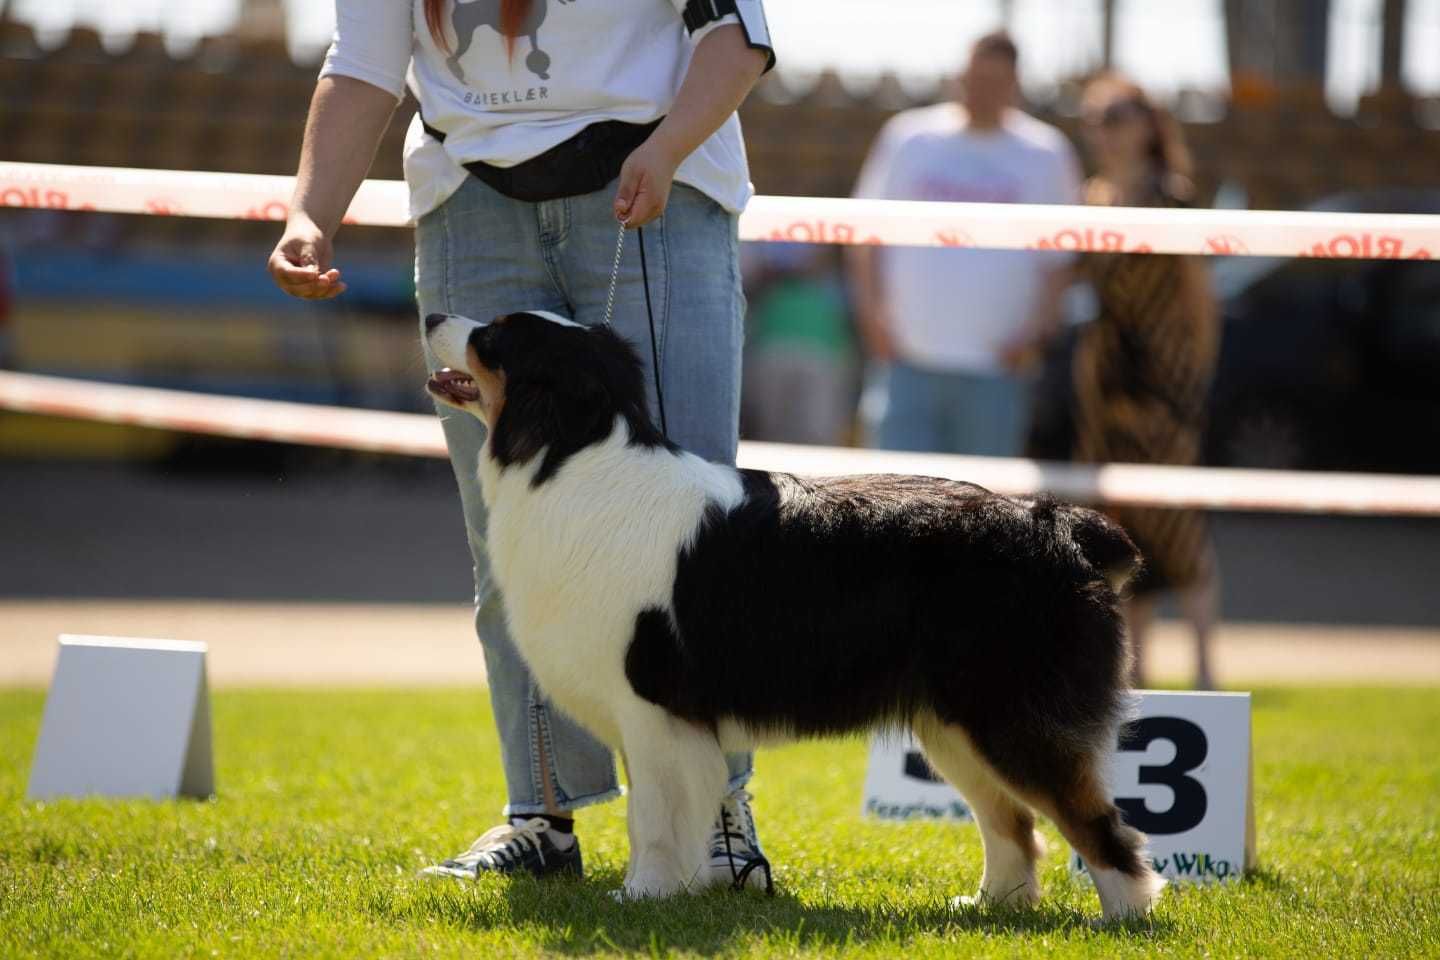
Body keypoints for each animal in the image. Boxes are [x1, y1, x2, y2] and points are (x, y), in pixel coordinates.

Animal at [420, 312, 1163, 921]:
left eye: (493, 337)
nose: (431, 315)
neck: (568, 454)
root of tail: (1060, 525)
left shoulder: (654, 708)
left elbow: (651, 815)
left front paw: (643, 896)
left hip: (1012, 716)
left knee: (1098, 825)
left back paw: (1124, 919)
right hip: (954, 724)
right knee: (1013, 824)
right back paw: (992, 907)